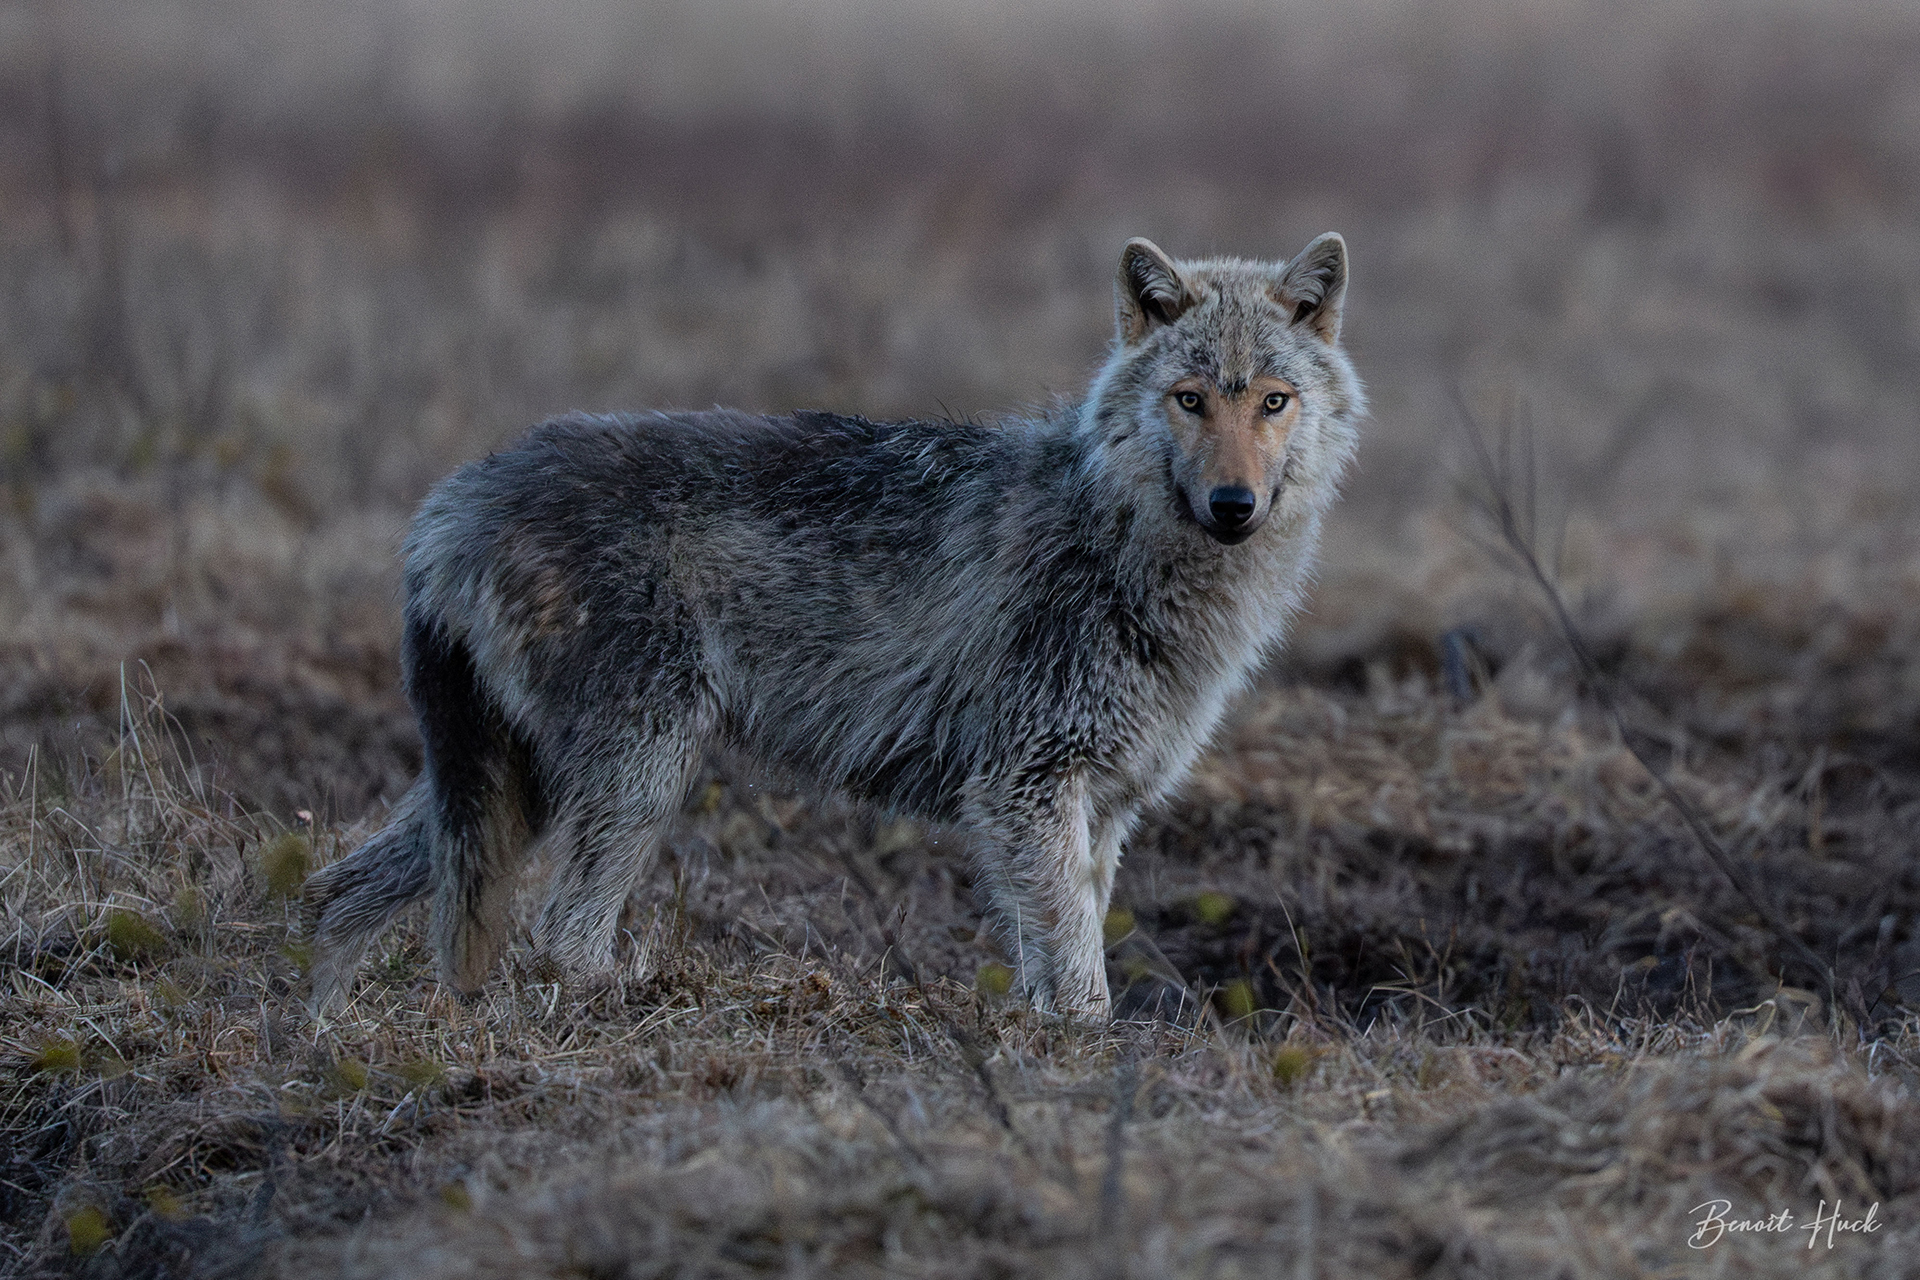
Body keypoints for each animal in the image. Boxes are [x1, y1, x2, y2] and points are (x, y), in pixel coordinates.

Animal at [304, 233, 1364, 1019]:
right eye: (1191, 399)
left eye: (1273, 402)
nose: (1234, 505)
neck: (1122, 548)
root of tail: (453, 498)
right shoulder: (1024, 789)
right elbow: (1079, 981)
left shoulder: (1098, 810)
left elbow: (1056, 958)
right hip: (635, 780)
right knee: (557, 939)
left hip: (507, 797)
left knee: (333, 897)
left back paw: (312, 1040)